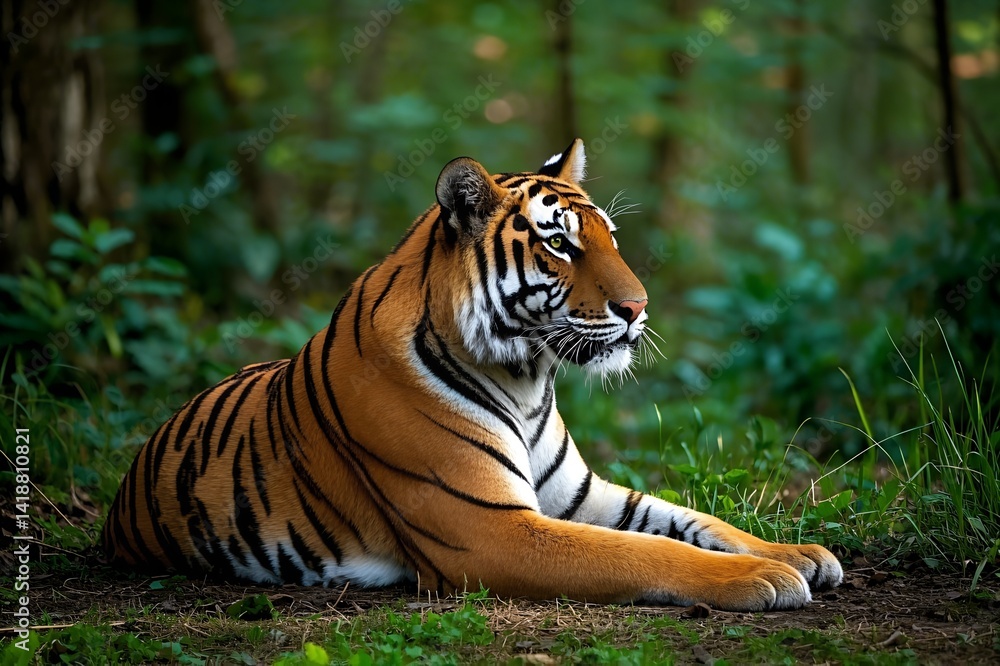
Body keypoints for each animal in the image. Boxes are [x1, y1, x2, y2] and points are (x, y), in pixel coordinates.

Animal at [102, 139, 843, 611]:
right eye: (559, 243)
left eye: (610, 237)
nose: (638, 308)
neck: (529, 379)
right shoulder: (493, 531)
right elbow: (645, 552)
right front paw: (763, 576)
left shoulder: (579, 496)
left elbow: (689, 518)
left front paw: (796, 552)